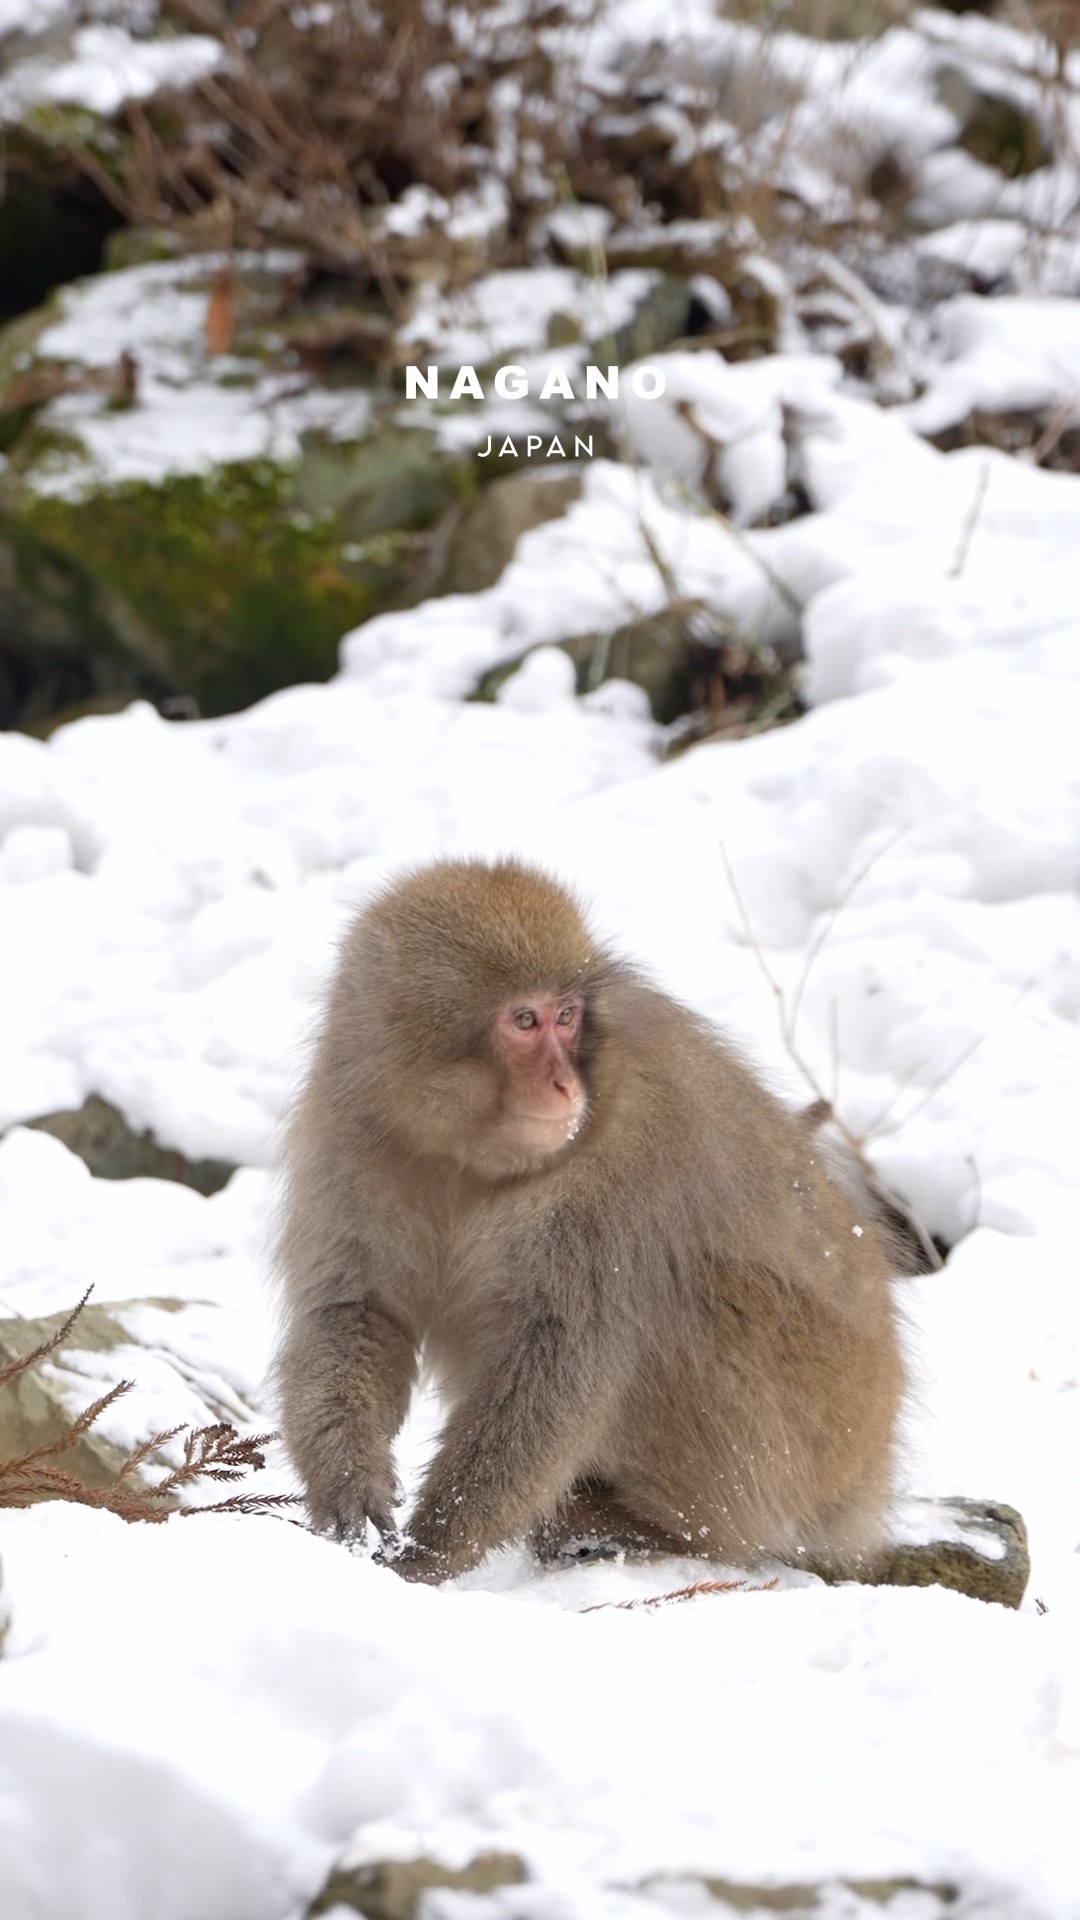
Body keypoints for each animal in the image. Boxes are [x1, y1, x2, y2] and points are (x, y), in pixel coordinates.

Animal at [274, 858, 906, 1586]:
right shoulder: (348, 1136)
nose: (564, 1085)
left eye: (568, 1017)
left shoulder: (620, 1175)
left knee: (705, 1299)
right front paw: (349, 1494)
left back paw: (652, 1533)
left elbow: (560, 1360)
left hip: (811, 1434)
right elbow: (355, 1311)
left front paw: (431, 1552)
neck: (469, 1159)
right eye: (525, 1020)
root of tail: (867, 1482)